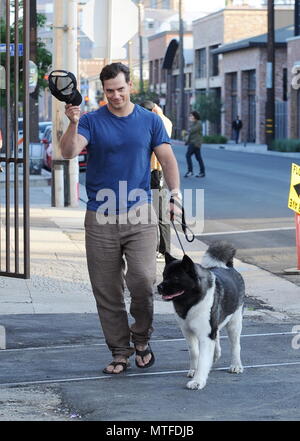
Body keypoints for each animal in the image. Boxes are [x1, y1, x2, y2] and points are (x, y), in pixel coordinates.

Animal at [156, 241, 245, 388]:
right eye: (164, 275)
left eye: (175, 277)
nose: (159, 287)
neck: (191, 300)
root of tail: (229, 267)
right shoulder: (188, 332)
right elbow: (194, 352)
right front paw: (194, 369)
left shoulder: (205, 335)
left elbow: (203, 358)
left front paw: (198, 381)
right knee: (217, 337)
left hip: (234, 322)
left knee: (235, 345)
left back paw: (236, 365)